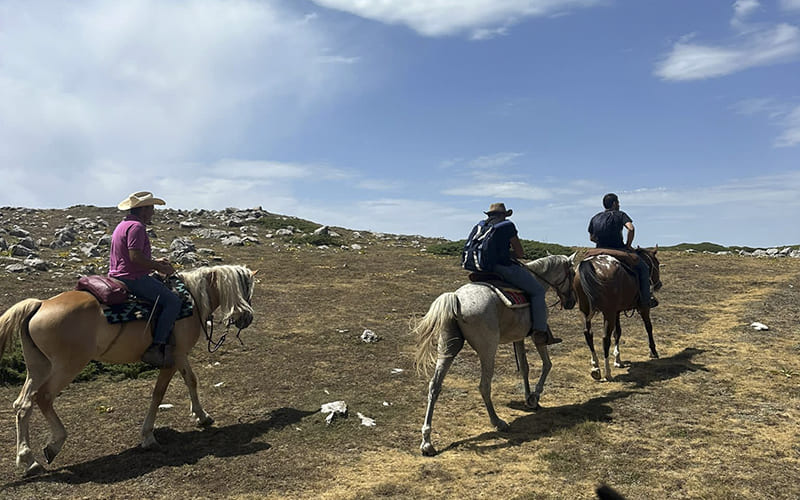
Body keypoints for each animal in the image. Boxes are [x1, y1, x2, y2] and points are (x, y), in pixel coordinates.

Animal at [0, 264, 256, 474]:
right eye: (245, 289)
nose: (246, 318)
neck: (191, 300)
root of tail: (40, 304)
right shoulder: (174, 357)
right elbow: (163, 391)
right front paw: (150, 436)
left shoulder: (179, 356)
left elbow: (188, 381)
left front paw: (201, 416)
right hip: (67, 366)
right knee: (43, 397)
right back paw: (53, 445)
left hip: (38, 366)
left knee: (23, 404)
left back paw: (28, 460)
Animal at [412, 254, 576, 458]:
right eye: (572, 274)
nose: (571, 302)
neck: (539, 280)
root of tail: (456, 298)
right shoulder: (537, 337)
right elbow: (547, 364)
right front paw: (534, 397)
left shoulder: (518, 337)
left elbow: (524, 368)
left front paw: (528, 396)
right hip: (488, 350)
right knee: (484, 386)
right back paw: (498, 422)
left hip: (448, 347)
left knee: (435, 386)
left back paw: (427, 442)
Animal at [576, 248, 664, 380]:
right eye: (657, 263)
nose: (659, 284)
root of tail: (589, 263)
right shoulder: (644, 308)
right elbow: (648, 327)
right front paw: (653, 351)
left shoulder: (616, 311)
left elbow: (617, 333)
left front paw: (618, 360)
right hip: (608, 313)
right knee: (605, 338)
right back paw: (607, 373)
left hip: (585, 310)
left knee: (588, 334)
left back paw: (595, 367)